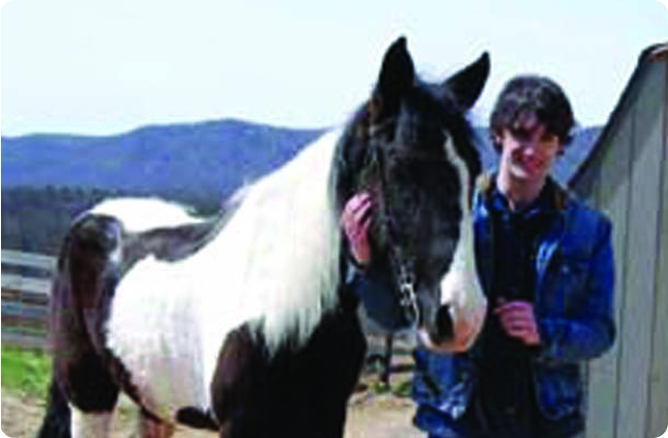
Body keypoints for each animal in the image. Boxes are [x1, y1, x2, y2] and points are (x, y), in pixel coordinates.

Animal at [36, 37, 489, 438]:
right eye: (401, 166)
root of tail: (91, 221)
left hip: (153, 401)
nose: (461, 318)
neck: (280, 306)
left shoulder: (325, 422)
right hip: (88, 395)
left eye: (473, 170)